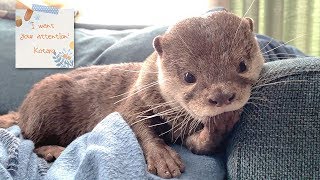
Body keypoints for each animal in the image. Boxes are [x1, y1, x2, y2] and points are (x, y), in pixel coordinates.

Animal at [1, 11, 264, 179]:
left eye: (242, 65)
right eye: (189, 76)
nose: (222, 97)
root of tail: (21, 112)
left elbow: (198, 144)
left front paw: (221, 122)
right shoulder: (135, 98)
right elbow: (135, 125)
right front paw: (162, 157)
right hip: (44, 104)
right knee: (29, 138)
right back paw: (53, 150)